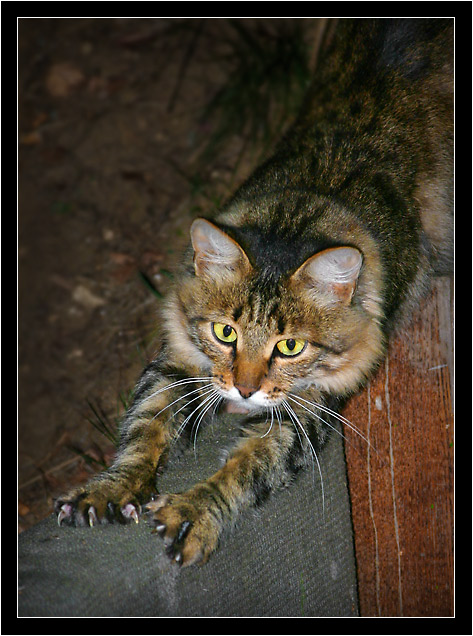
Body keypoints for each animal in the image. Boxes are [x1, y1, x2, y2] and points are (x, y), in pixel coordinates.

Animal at [56, 18, 454, 568]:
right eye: (226, 333)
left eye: (290, 346)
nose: (244, 392)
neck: (295, 214)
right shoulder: (177, 360)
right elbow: (143, 427)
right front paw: (110, 490)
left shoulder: (308, 410)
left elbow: (245, 470)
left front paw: (195, 512)